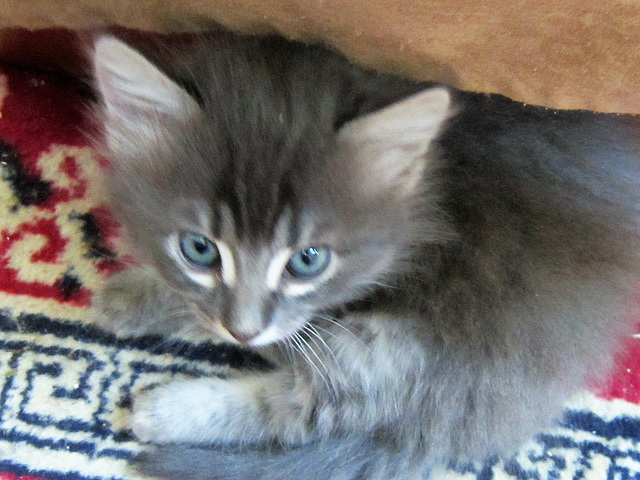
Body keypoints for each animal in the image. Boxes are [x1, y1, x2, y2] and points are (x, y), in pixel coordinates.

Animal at [91, 33, 640, 480]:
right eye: (199, 249)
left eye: (308, 259)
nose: (242, 330)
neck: (427, 189)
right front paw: (140, 294)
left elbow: (296, 344)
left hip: (438, 336)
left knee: (313, 404)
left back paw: (167, 409)